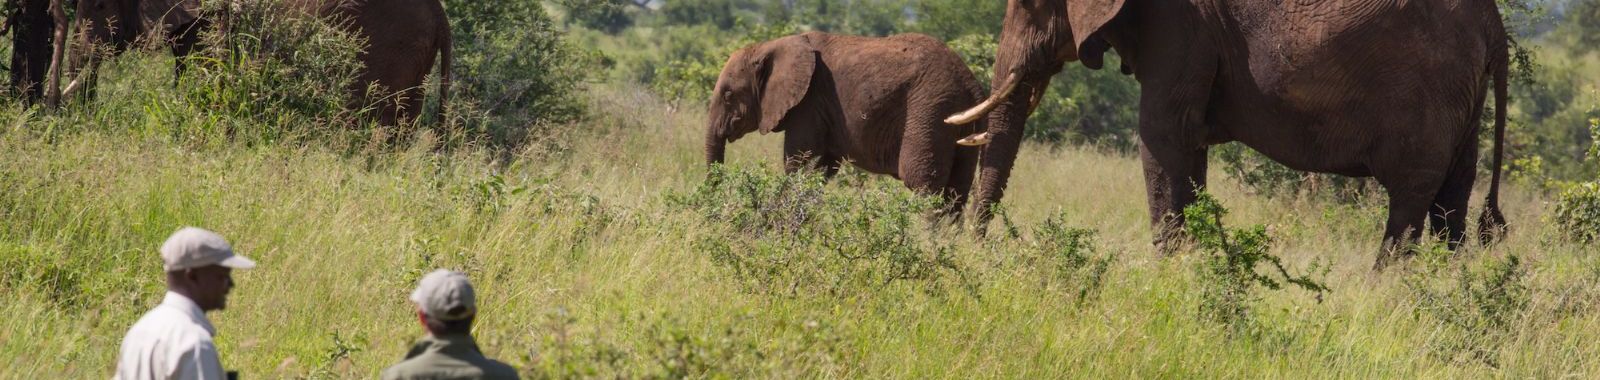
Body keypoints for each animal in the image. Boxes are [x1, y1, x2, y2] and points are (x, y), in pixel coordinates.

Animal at [710, 31, 985, 217]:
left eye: (728, 95)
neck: (771, 45)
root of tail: (970, 82)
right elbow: (819, 171)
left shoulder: (809, 103)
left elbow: (799, 165)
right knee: (957, 189)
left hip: (930, 110)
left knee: (923, 183)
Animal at [947, 0, 1510, 266]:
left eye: (1031, 5)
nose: (974, 251)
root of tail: (1496, 28)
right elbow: (1188, 150)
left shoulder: (1181, 27)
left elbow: (1162, 137)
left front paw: (1165, 271)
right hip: (1463, 98)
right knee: (1451, 203)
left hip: (1431, 89)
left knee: (1411, 199)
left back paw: (1382, 290)